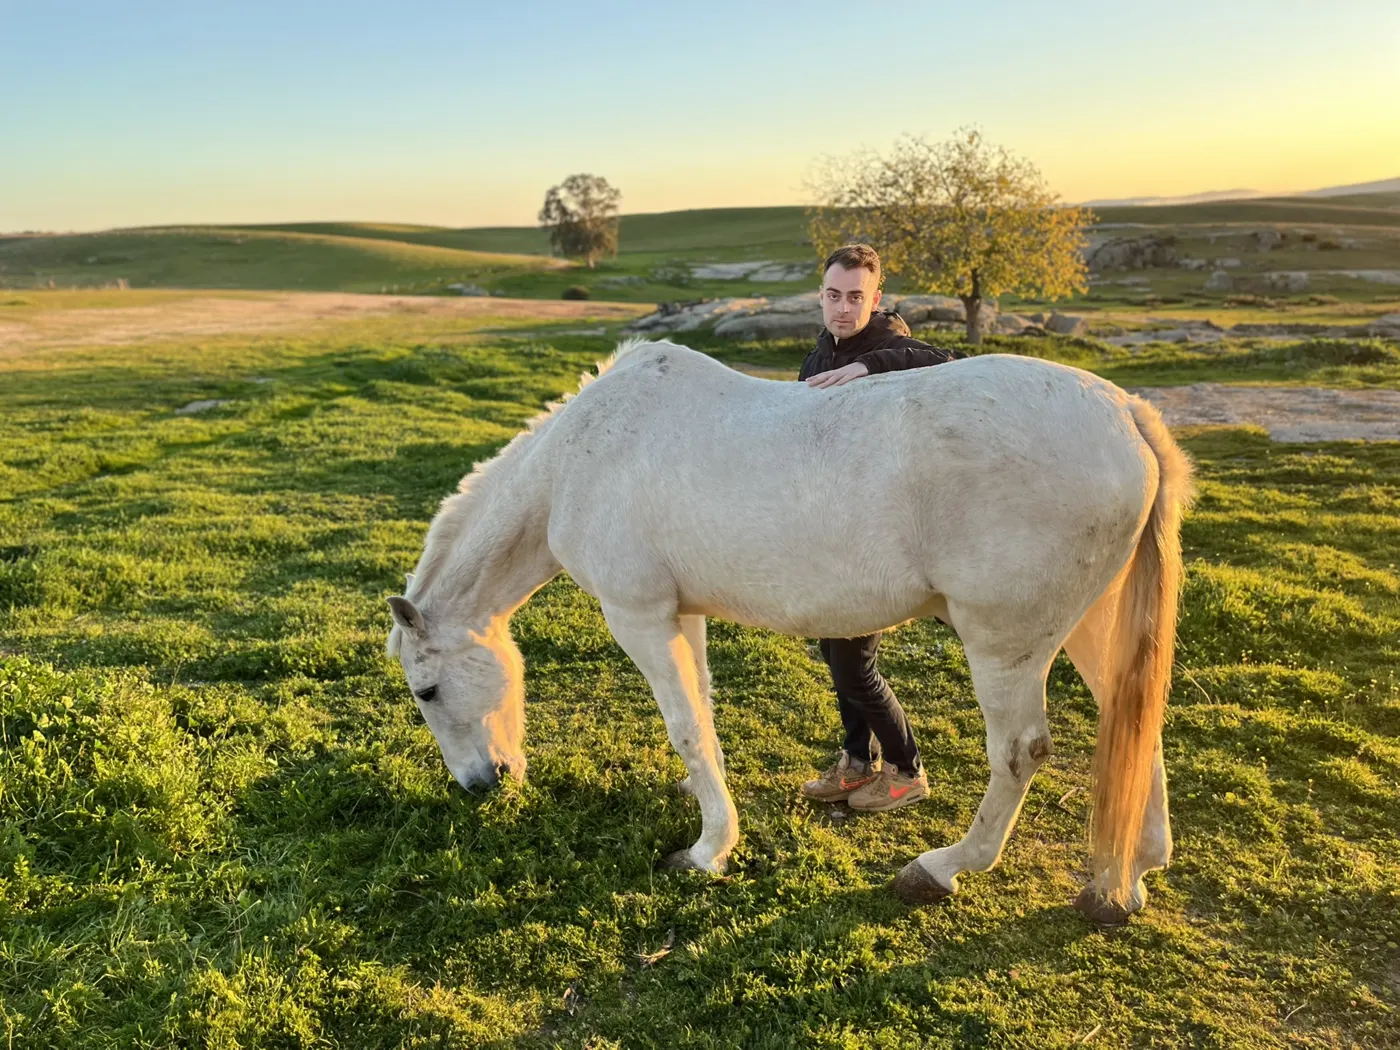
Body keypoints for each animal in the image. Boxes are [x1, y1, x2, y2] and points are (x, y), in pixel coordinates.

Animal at [386, 338, 1193, 923]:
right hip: (1093, 624)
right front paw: (710, 814)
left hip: (1005, 644)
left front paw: (707, 852)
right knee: (1132, 715)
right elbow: (702, 717)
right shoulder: (682, 615)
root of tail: (1125, 413)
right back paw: (1129, 875)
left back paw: (943, 868)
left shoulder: (638, 615)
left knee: (1022, 753)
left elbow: (684, 725)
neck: (577, 461)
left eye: (426, 691)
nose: (480, 785)